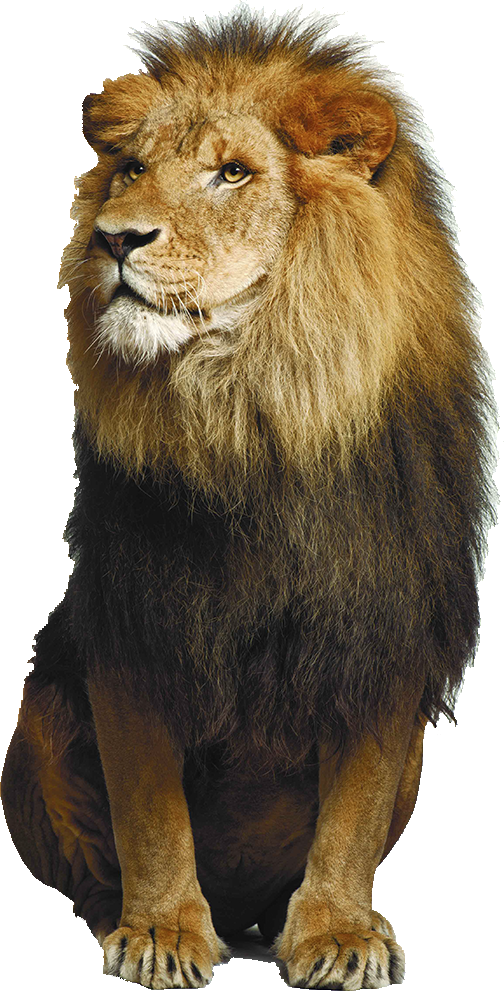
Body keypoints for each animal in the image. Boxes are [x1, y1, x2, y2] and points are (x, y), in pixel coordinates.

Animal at [1, 10, 496, 990]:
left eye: (232, 173)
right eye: (130, 169)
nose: (114, 238)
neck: (254, 414)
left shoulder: (382, 627)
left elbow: (351, 814)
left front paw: (338, 932)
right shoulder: (139, 619)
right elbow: (150, 808)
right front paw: (161, 931)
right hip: (33, 723)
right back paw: (118, 914)